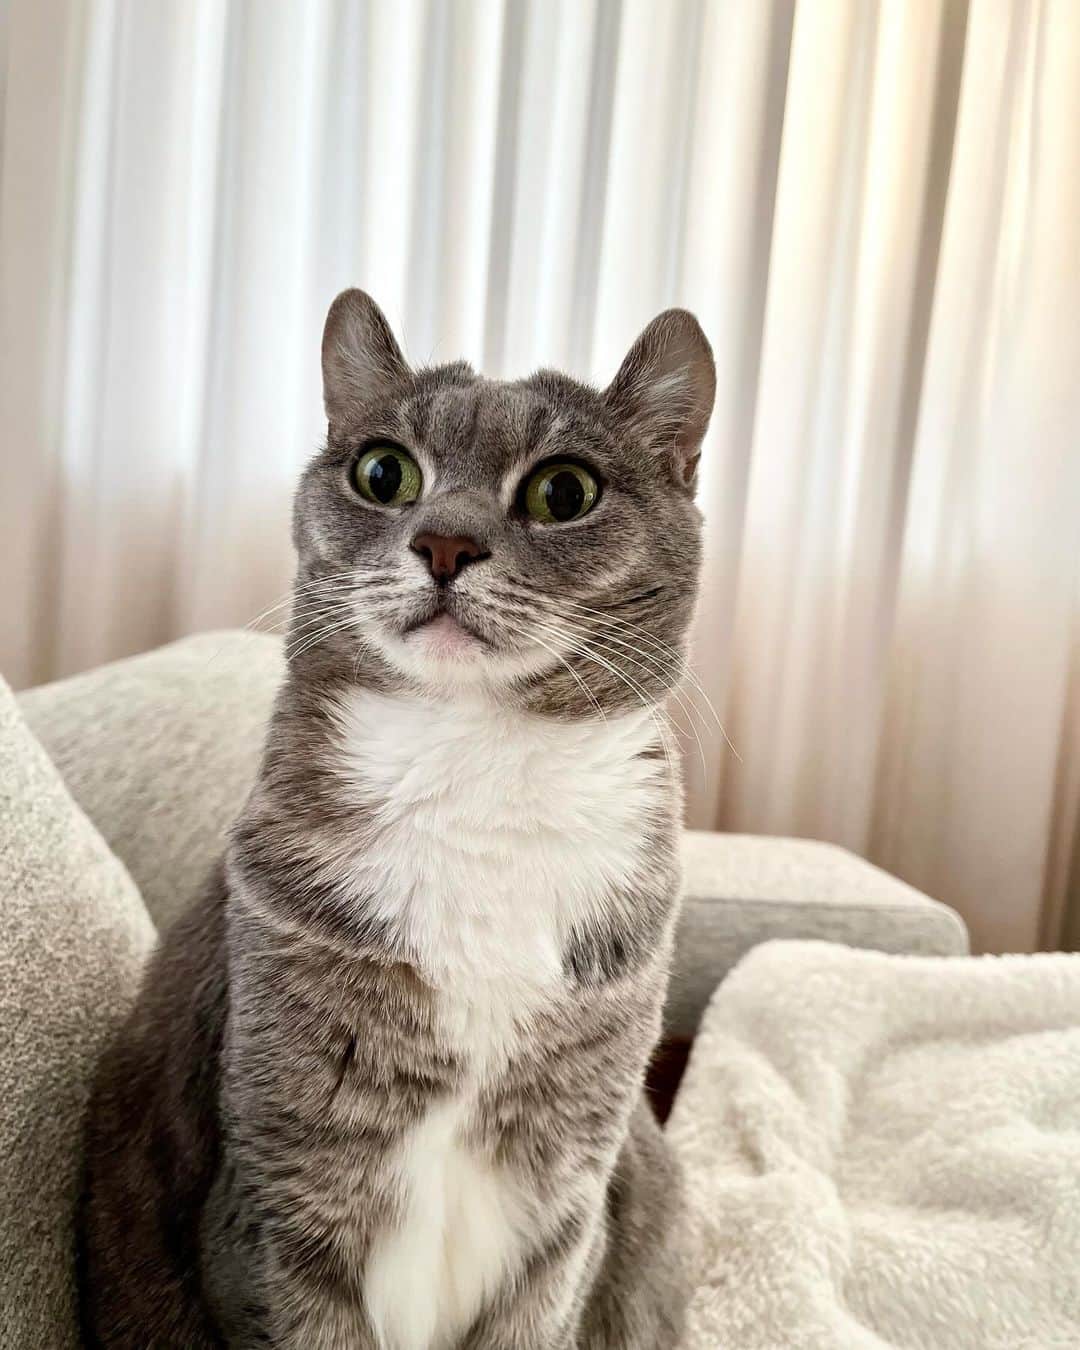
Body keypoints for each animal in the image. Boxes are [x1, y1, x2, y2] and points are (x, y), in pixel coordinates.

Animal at [79, 288, 715, 1349]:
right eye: (384, 472)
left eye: (565, 491)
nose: (444, 544)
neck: (476, 769)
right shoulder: (279, 1197)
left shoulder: (566, 1206)